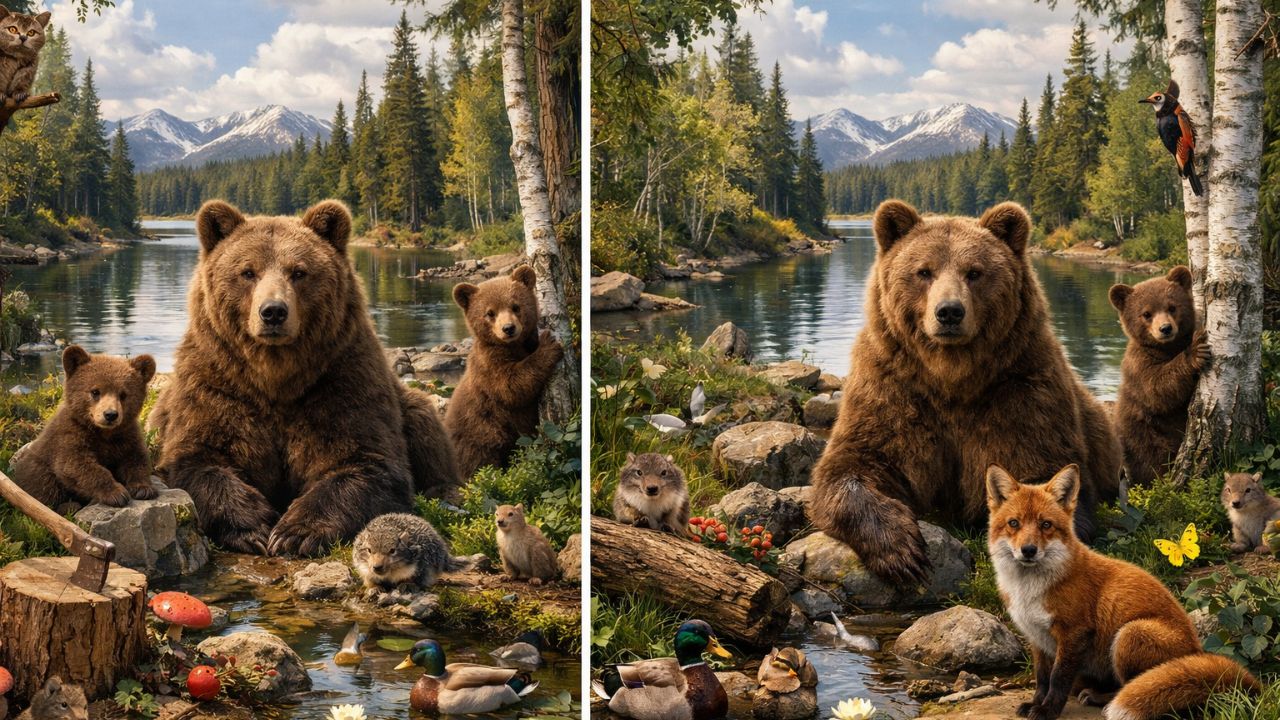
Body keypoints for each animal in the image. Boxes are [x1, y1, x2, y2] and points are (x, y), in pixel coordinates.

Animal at [11, 345, 155, 510]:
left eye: (123, 394)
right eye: (95, 391)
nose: (110, 415)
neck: (103, 433)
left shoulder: (126, 435)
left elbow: (136, 459)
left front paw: (143, 488)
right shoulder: (69, 435)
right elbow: (76, 464)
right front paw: (117, 494)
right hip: (37, 466)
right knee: (44, 487)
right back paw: (69, 506)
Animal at [147, 199, 459, 557]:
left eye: (298, 271)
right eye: (248, 272)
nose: (273, 312)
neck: (274, 377)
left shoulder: (339, 382)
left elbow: (366, 462)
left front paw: (294, 532)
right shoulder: (217, 384)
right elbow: (197, 459)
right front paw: (253, 527)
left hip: (407, 406)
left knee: (425, 426)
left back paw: (445, 490)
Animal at [445, 265, 564, 479]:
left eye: (515, 306)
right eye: (489, 313)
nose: (508, 328)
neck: (512, 346)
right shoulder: (488, 365)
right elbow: (510, 387)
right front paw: (549, 345)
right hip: (478, 437)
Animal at [809, 199, 1122, 586]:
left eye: (974, 272)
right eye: (923, 271)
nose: (949, 312)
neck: (952, 377)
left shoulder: (1021, 391)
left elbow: (1041, 469)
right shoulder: (893, 388)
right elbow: (853, 463)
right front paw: (901, 552)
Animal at [1108, 266, 1209, 486]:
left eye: (1172, 307)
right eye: (1146, 313)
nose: (1165, 328)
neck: (1168, 348)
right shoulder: (1139, 364)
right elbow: (1157, 389)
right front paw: (1195, 352)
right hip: (1144, 436)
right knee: (1151, 463)